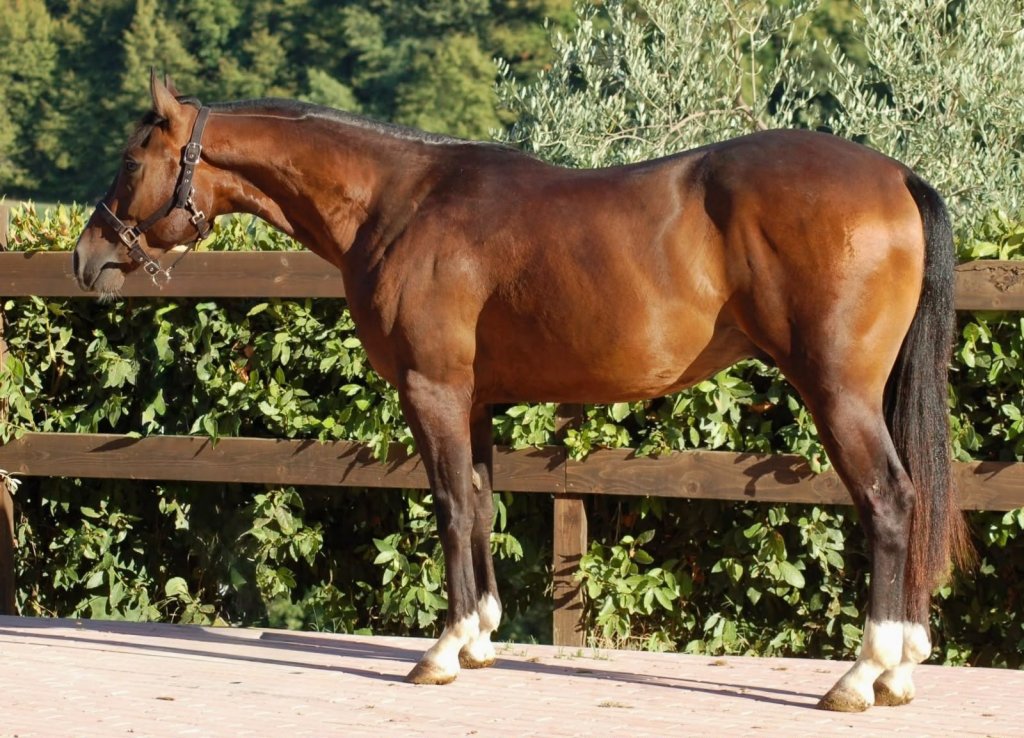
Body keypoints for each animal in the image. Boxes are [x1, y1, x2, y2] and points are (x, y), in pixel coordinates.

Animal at [73, 72, 970, 712]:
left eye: (130, 163)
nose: (87, 259)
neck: (399, 204)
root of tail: (896, 176)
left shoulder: (432, 391)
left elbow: (449, 507)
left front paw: (441, 652)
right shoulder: (472, 401)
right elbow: (480, 502)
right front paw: (480, 639)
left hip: (837, 392)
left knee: (890, 502)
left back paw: (862, 676)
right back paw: (900, 669)